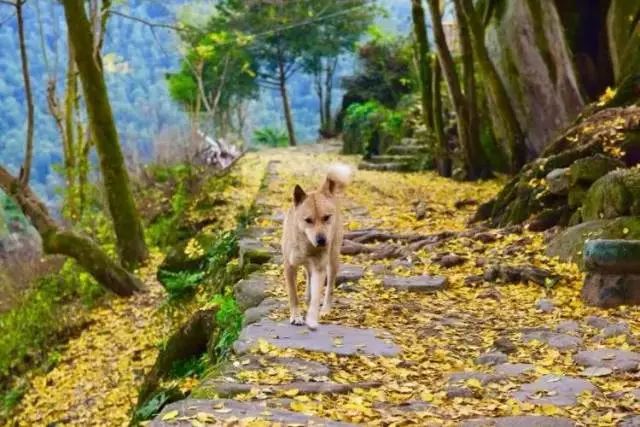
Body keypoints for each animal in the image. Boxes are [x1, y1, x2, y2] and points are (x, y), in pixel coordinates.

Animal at [282, 164, 352, 332]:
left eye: (326, 217)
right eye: (308, 220)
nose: (322, 240)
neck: (307, 245)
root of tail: (323, 190)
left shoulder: (320, 268)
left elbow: (316, 295)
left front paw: (312, 319)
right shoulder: (289, 267)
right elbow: (293, 295)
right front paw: (296, 316)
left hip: (333, 260)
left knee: (329, 287)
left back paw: (326, 309)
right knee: (308, 276)